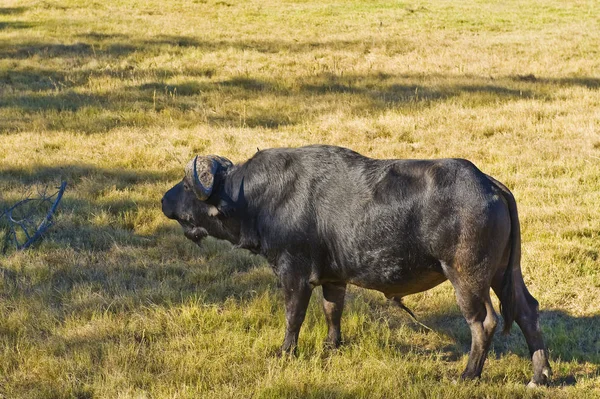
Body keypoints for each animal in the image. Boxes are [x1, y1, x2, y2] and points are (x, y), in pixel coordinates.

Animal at [162, 145, 552, 386]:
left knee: (484, 323)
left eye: (185, 185)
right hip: (504, 273)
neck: (260, 197)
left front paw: (286, 352)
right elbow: (332, 310)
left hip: (467, 277)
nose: (164, 200)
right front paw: (331, 346)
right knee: (527, 311)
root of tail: (490, 185)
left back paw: (468, 375)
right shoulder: (334, 278)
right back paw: (540, 375)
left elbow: (294, 317)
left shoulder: (294, 275)